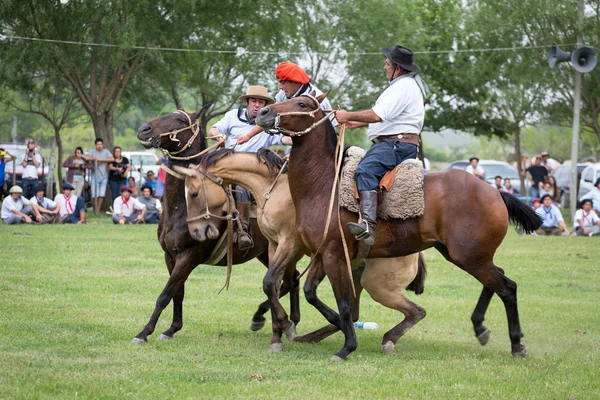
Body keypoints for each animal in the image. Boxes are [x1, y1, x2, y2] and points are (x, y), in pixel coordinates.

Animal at [132, 110, 298, 344]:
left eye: (180, 120)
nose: (144, 129)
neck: (182, 208)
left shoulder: (189, 256)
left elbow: (165, 294)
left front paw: (144, 332)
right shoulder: (170, 256)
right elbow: (177, 293)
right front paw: (171, 329)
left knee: (287, 282)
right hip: (266, 253)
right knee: (290, 281)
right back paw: (287, 320)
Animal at [175, 148, 426, 352]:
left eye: (194, 193)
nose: (195, 231)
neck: (274, 189)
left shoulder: (290, 244)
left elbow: (274, 283)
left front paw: (285, 324)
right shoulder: (275, 245)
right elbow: (276, 285)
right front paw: (276, 331)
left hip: (377, 283)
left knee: (415, 312)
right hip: (354, 273)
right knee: (355, 312)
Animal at [254, 93, 544, 360]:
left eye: (302, 104)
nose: (264, 112)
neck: (324, 184)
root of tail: (495, 192)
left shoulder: (334, 254)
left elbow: (344, 304)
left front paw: (347, 346)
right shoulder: (321, 252)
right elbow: (309, 292)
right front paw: (311, 325)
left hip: (470, 257)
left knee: (507, 287)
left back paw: (516, 344)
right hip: (466, 256)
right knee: (497, 281)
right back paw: (480, 327)